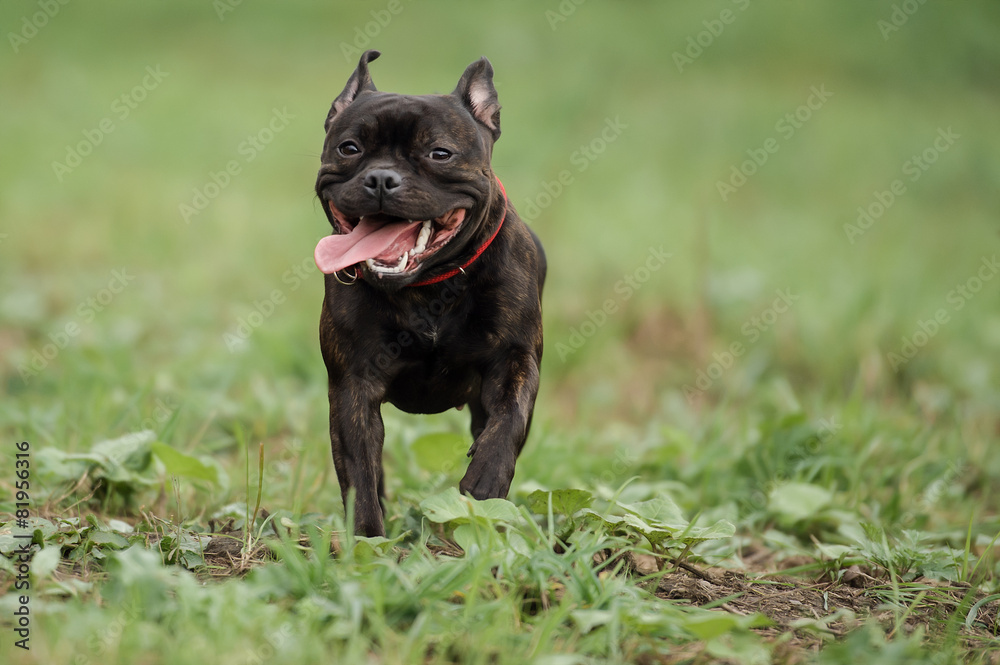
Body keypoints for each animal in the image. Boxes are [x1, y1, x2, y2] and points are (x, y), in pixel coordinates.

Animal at [314, 53, 544, 540]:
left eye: (440, 153)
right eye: (349, 148)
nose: (382, 178)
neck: (428, 285)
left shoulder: (515, 360)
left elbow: (510, 418)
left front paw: (485, 480)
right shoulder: (352, 384)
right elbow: (359, 469)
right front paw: (368, 540)